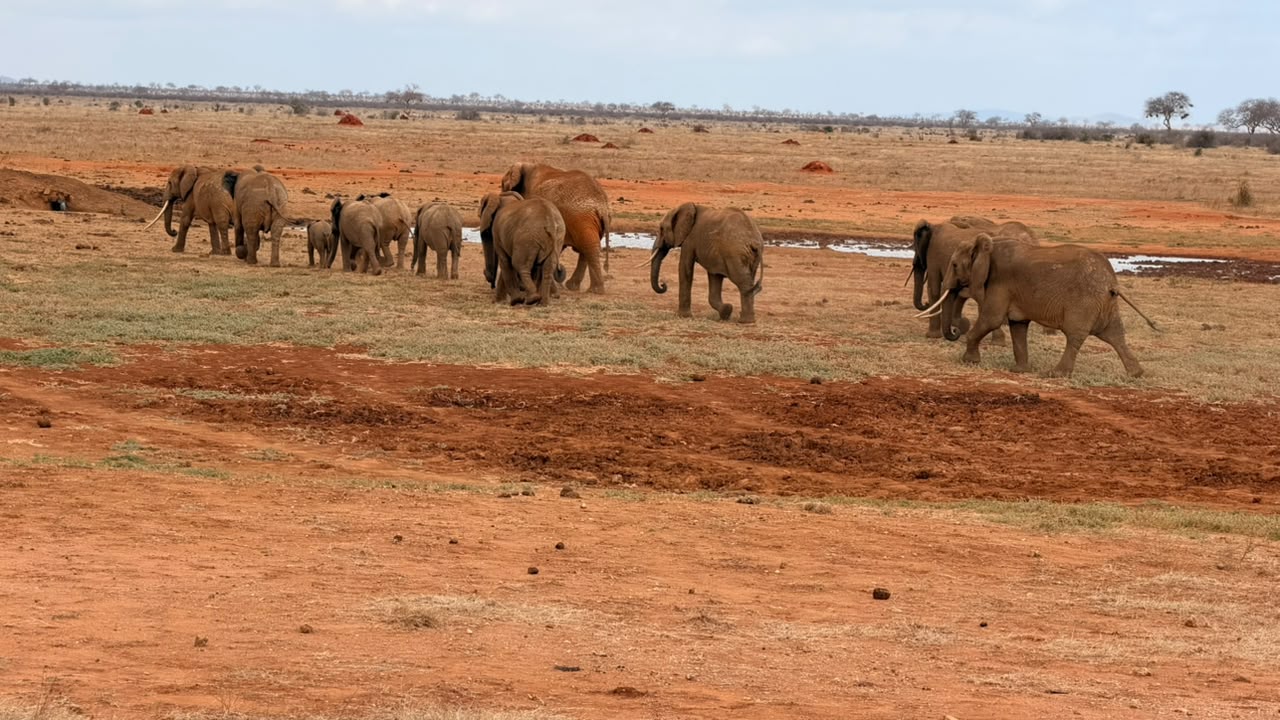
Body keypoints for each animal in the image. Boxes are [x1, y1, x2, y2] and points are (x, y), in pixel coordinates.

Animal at [500, 163, 611, 293]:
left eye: (503, 185)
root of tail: (602, 206)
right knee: (587, 247)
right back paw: (577, 287)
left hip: (581, 218)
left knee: (588, 247)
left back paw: (593, 290)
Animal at [917, 233, 1158, 377]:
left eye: (955, 265)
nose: (955, 330)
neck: (990, 245)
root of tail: (1112, 282)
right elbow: (1017, 326)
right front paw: (1019, 371)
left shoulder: (999, 283)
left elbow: (991, 320)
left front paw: (969, 361)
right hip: (1105, 303)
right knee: (1115, 334)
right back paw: (1137, 374)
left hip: (1085, 302)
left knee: (1075, 335)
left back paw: (1056, 374)